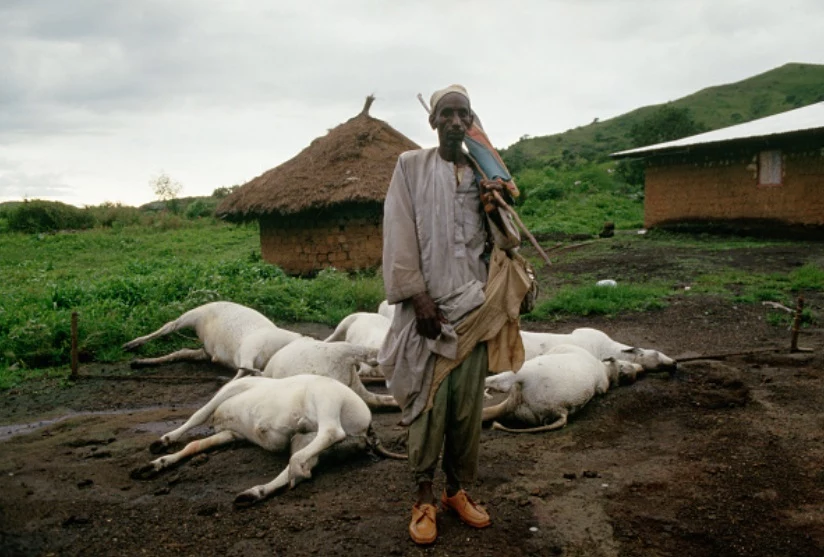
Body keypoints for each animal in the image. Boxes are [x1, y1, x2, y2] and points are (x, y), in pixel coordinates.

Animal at [129, 374, 406, 504]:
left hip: (326, 397)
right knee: (307, 459)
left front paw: (162, 441)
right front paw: (155, 465)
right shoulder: (233, 433)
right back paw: (256, 492)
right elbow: (195, 444)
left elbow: (197, 415)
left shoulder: (235, 388)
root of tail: (369, 428)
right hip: (307, 439)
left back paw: (291, 471)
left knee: (331, 431)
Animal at [482, 344, 644, 434]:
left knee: (499, 383)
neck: (606, 372)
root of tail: (561, 411)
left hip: (525, 374)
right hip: (515, 404)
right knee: (491, 410)